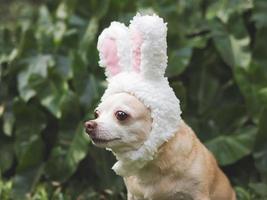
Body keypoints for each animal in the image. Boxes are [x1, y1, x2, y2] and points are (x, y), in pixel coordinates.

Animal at [84, 13, 237, 199]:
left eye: (121, 115)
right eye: (96, 114)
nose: (89, 125)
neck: (153, 164)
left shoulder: (198, 194)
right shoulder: (133, 195)